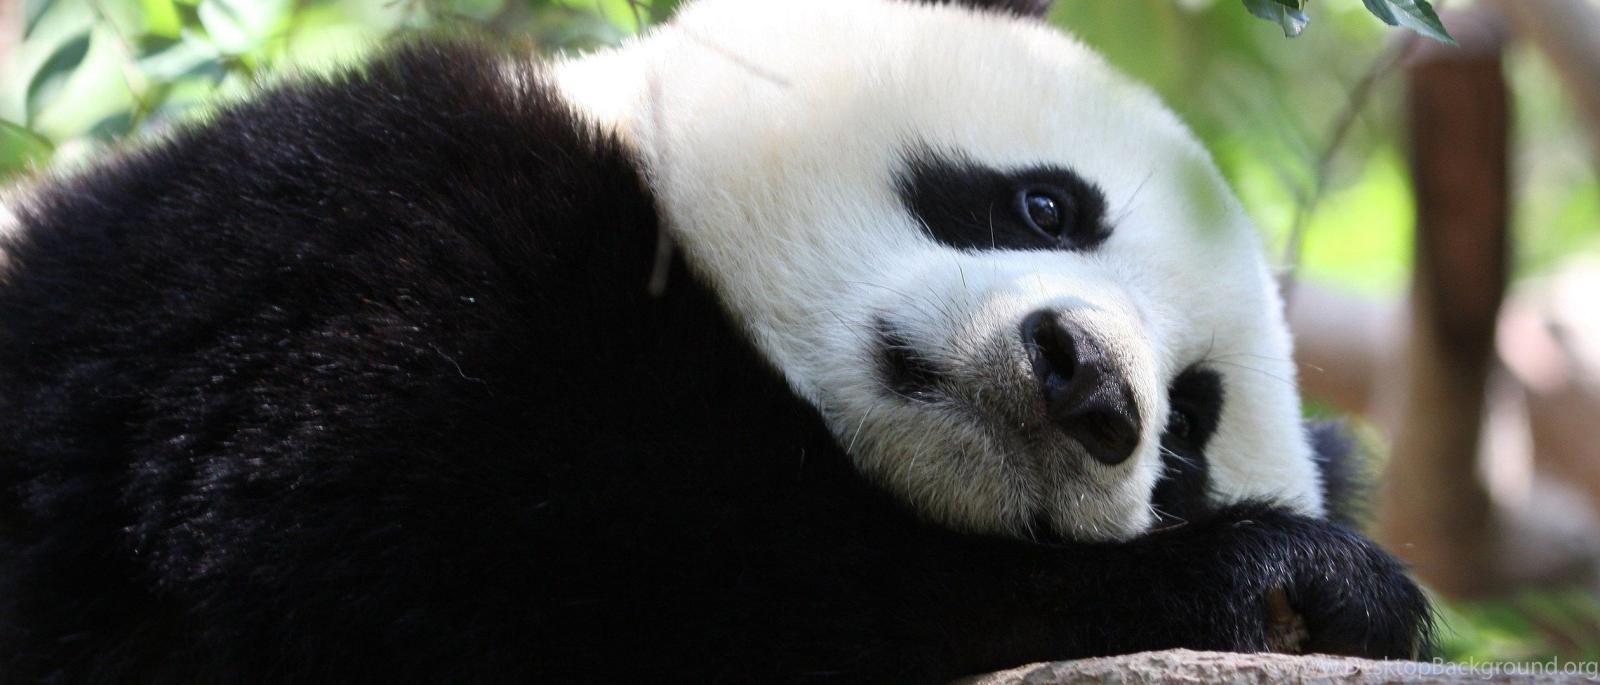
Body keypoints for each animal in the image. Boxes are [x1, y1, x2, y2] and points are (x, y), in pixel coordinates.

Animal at [0, 0, 1430, 682]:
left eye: (1185, 433)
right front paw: (1283, 580)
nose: (1086, 383)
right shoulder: (355, 240)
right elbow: (502, 552)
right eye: (1044, 205)